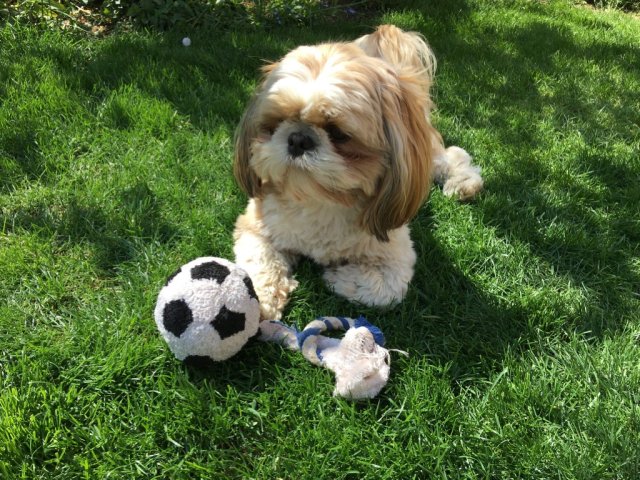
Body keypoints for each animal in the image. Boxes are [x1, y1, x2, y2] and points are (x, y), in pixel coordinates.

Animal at [232, 25, 483, 320]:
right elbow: (259, 264)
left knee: (451, 155)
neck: (321, 201)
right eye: (278, 121)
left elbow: (383, 290)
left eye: (339, 134)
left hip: (426, 151)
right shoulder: (255, 226)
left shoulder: (396, 254)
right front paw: (260, 300)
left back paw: (463, 182)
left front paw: (336, 276)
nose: (298, 139)